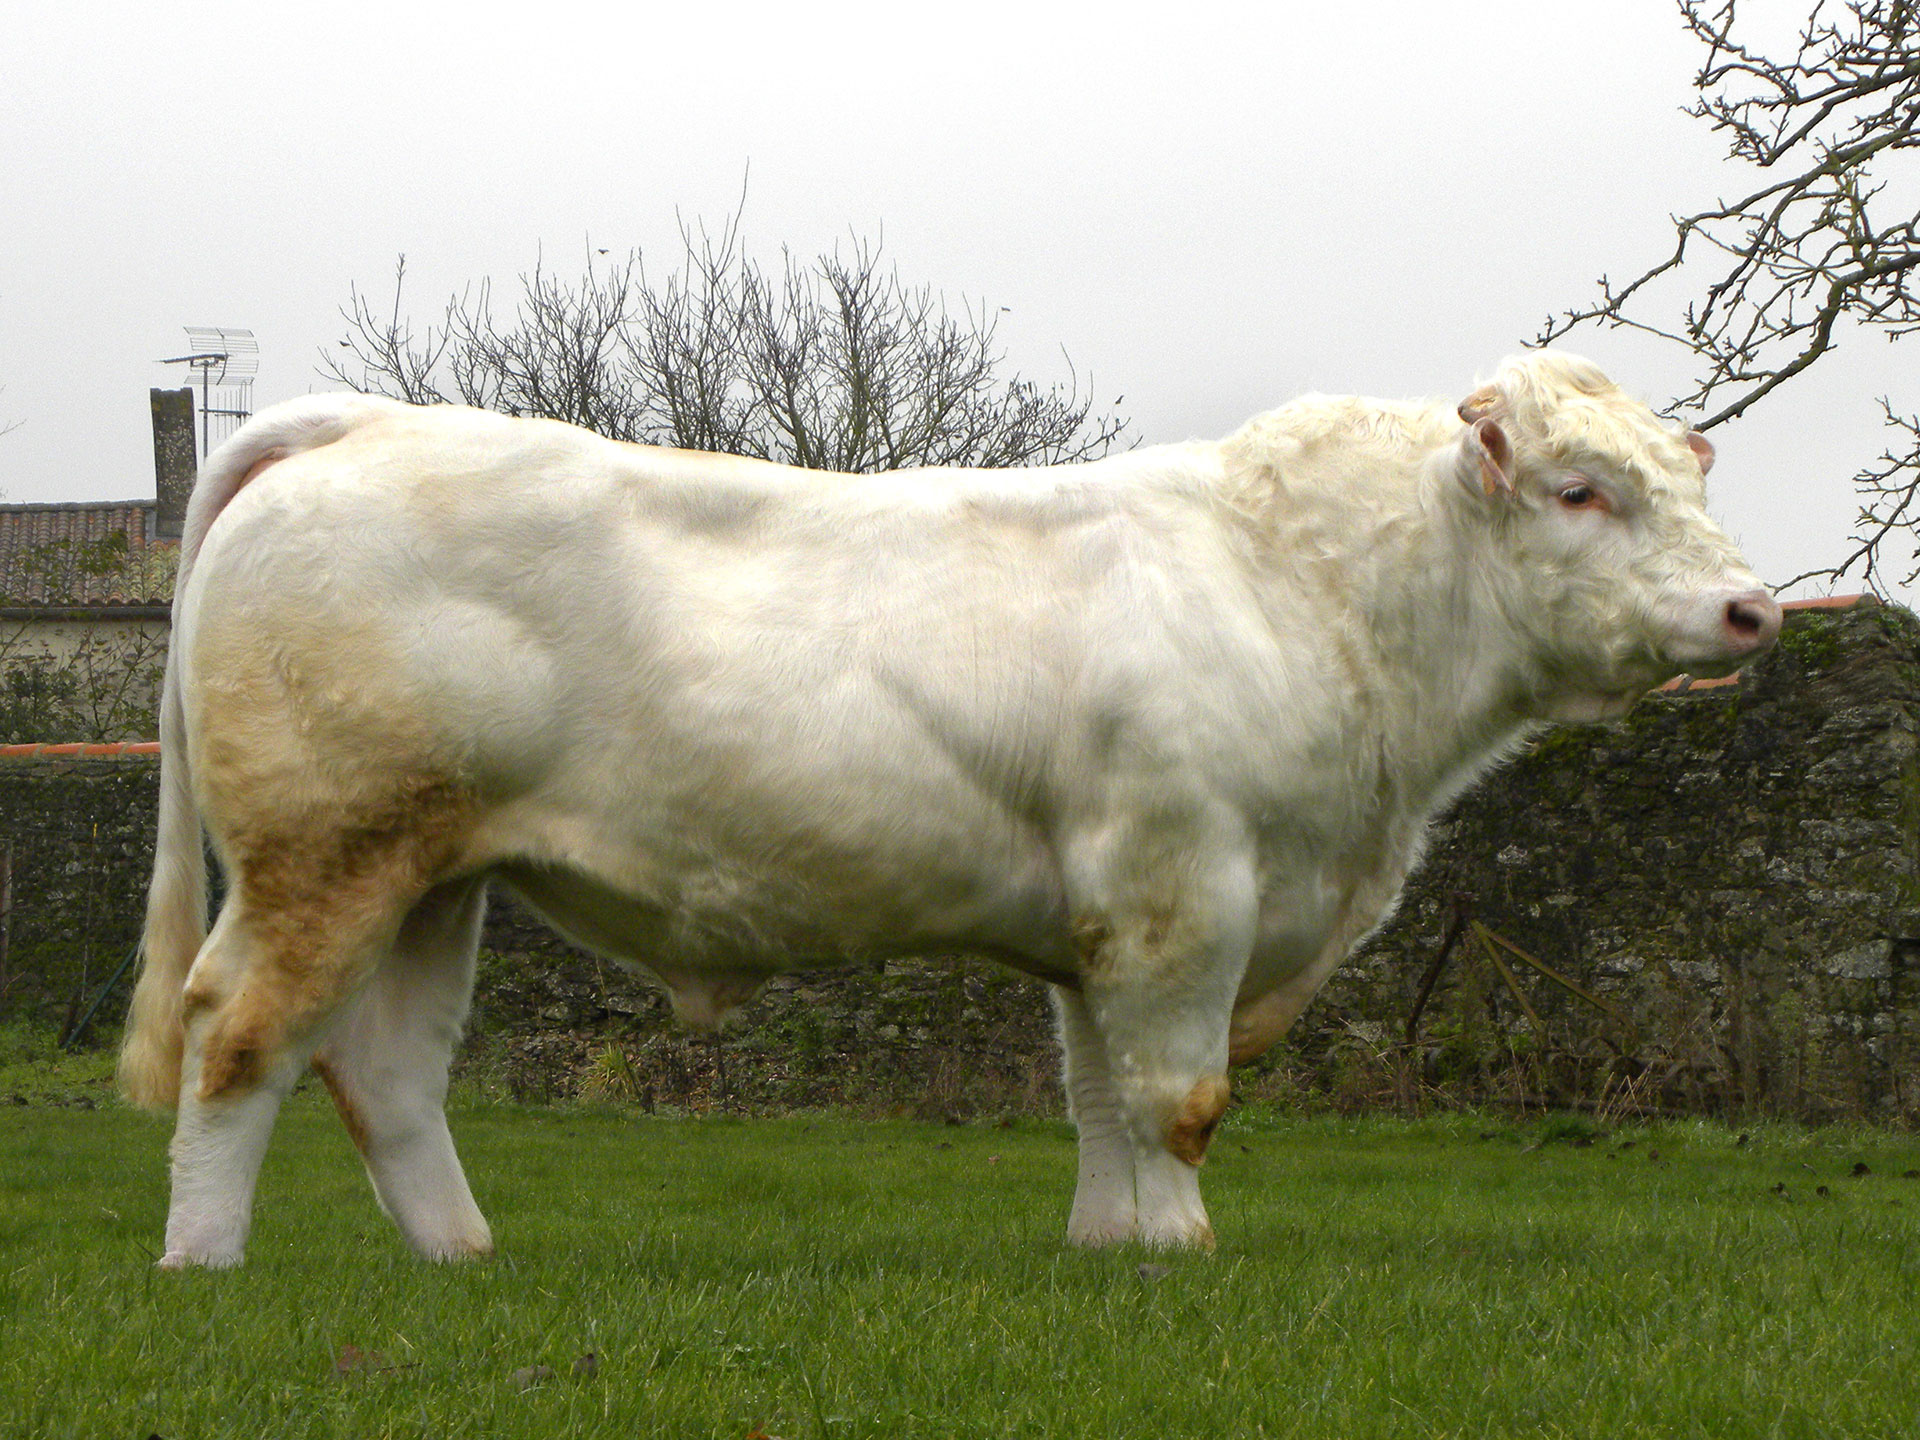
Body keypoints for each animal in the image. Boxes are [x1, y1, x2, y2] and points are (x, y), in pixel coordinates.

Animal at [120, 349, 1781, 1259]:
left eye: (1694, 475)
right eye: (1579, 490)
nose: (1752, 609)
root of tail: (361, 425)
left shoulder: (1108, 916)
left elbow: (1100, 1097)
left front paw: (1118, 1254)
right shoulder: (1189, 890)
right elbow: (1179, 1100)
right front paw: (1188, 1249)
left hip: (432, 871)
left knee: (387, 1071)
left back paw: (468, 1260)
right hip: (324, 851)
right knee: (239, 1034)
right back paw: (203, 1267)